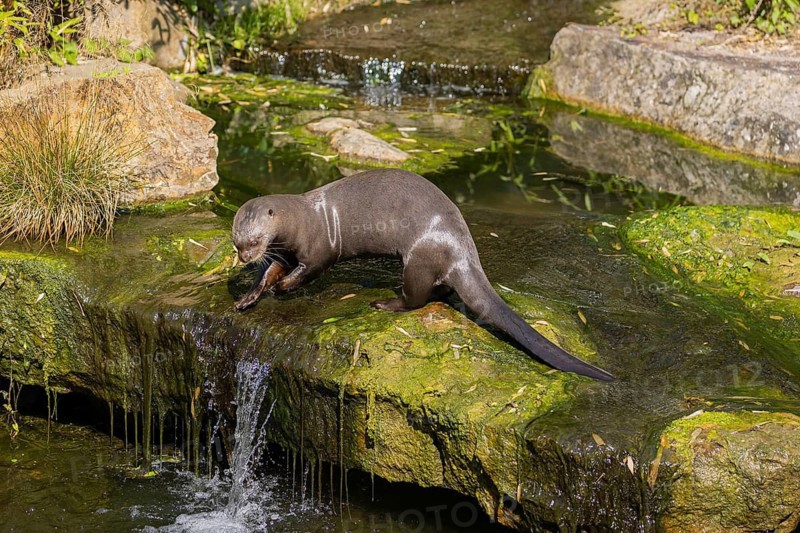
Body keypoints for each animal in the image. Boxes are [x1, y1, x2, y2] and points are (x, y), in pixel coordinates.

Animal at [232, 169, 613, 381]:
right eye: (237, 243)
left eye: (254, 240)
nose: (244, 257)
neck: (302, 220)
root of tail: (462, 247)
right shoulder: (284, 250)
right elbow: (269, 272)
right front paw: (249, 296)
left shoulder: (319, 248)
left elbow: (308, 270)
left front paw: (285, 286)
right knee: (440, 291)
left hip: (417, 256)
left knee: (416, 298)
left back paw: (385, 303)